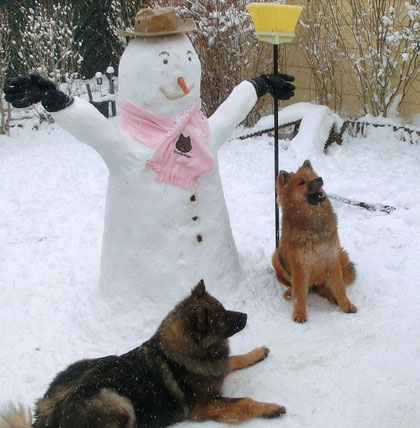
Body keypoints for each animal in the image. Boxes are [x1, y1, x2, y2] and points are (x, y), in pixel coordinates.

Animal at [0, 280, 286, 428]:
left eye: (224, 308)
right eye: (223, 317)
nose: (246, 316)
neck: (180, 354)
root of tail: (49, 418)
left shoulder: (219, 366)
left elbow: (234, 360)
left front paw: (257, 353)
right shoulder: (204, 406)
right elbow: (244, 401)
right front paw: (270, 408)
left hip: (85, 366)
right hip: (117, 401)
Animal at [272, 162, 358, 322]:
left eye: (313, 176)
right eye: (301, 182)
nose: (320, 179)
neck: (313, 222)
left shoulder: (332, 259)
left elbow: (340, 287)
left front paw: (346, 304)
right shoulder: (300, 265)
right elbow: (299, 292)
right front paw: (299, 313)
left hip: (342, 254)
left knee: (325, 287)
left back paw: (332, 296)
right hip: (276, 256)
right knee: (301, 287)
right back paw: (289, 292)